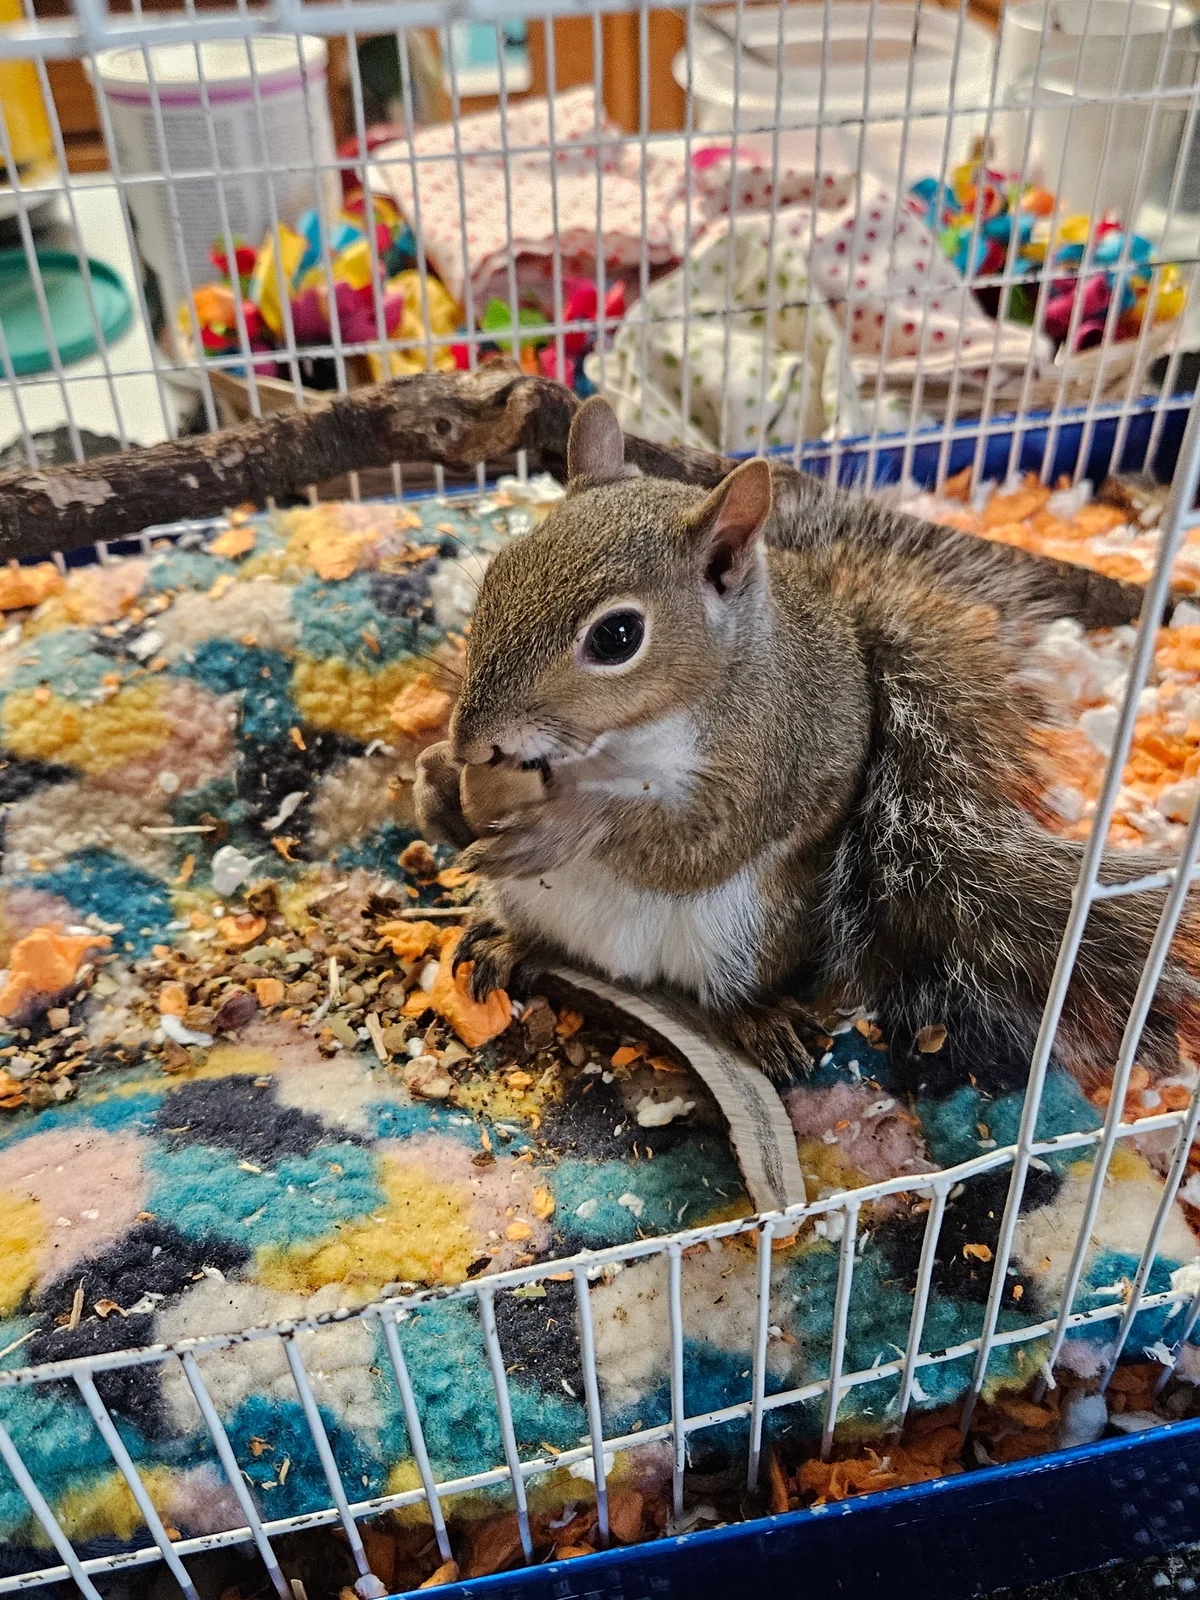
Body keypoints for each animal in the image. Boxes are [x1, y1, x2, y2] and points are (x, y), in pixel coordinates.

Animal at [415, 395, 1200, 1088]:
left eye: (617, 636)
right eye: (498, 572)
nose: (472, 742)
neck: (620, 741)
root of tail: (624, 968)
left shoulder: (769, 757)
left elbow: (692, 845)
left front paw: (565, 825)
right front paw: (434, 782)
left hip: (748, 931)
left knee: (731, 988)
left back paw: (761, 1020)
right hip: (541, 905)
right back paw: (510, 940)